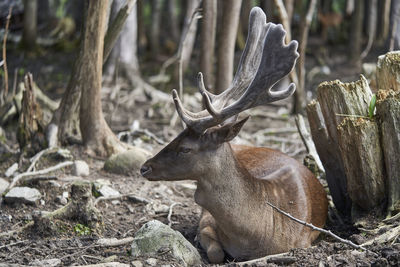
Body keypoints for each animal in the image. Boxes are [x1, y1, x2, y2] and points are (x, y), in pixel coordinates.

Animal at [141, 7, 328, 264]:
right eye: (175, 136)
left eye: (185, 148)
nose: (145, 167)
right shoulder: (206, 219)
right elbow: (216, 252)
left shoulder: (303, 241)